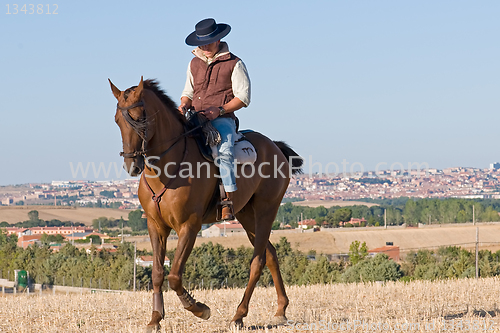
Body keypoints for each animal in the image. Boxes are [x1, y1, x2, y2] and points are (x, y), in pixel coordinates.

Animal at [109, 77, 302, 330]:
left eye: (141, 117)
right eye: (117, 120)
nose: (132, 165)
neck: (166, 169)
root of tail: (275, 147)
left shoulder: (189, 226)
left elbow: (174, 275)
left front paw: (199, 308)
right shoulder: (155, 226)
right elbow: (158, 273)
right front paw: (155, 319)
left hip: (266, 210)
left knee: (258, 261)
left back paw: (238, 315)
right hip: (246, 216)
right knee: (270, 254)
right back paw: (281, 310)